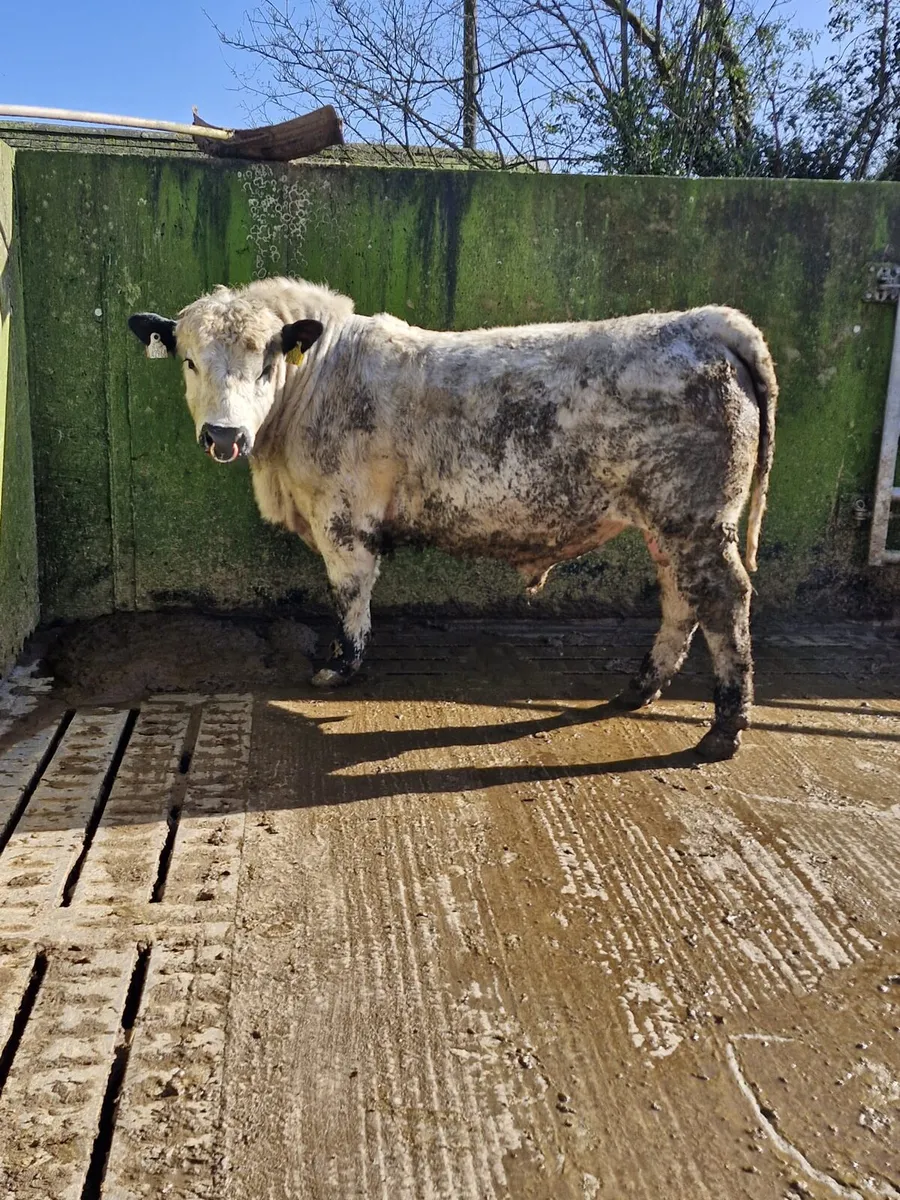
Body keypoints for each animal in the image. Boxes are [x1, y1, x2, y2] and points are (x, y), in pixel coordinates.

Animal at [129, 277, 777, 760]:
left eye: (265, 363)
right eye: (190, 361)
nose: (224, 435)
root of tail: (707, 322)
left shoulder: (343, 517)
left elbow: (350, 592)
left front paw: (342, 666)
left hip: (694, 517)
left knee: (723, 601)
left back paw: (723, 729)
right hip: (669, 524)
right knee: (679, 599)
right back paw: (637, 690)